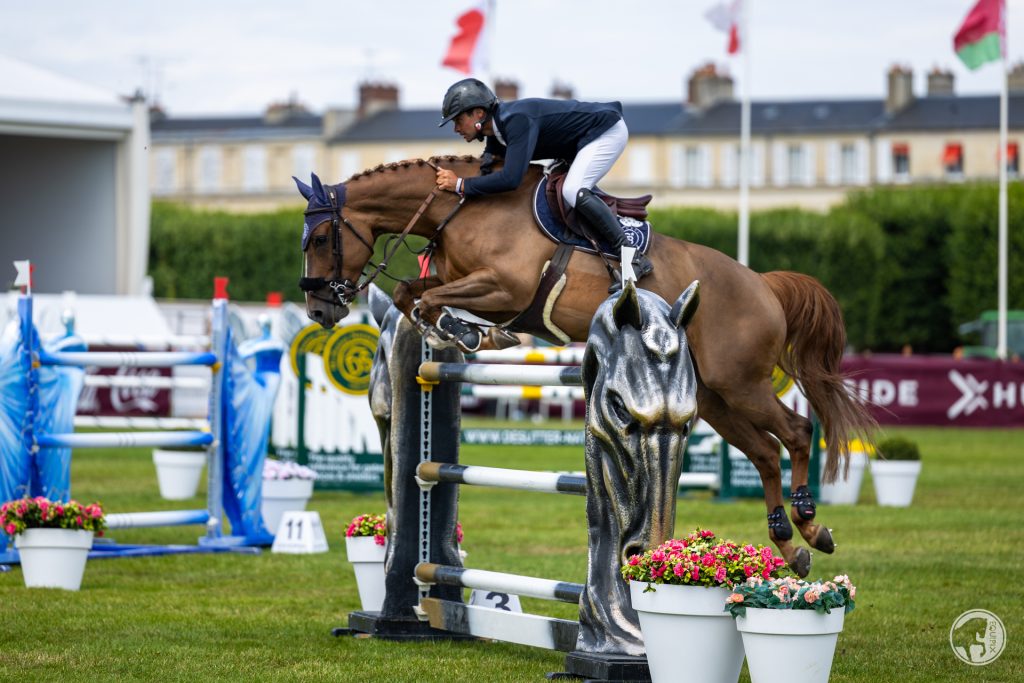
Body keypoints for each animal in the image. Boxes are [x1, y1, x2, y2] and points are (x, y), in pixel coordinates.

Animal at [294, 156, 872, 577]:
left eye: (321, 239)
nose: (321, 311)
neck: (461, 210)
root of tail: (762, 283)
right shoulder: (467, 283)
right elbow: (414, 293)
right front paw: (460, 331)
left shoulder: (504, 288)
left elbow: (428, 297)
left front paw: (464, 330)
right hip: (714, 398)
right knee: (766, 453)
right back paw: (792, 546)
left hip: (741, 383)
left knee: (795, 433)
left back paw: (810, 525)